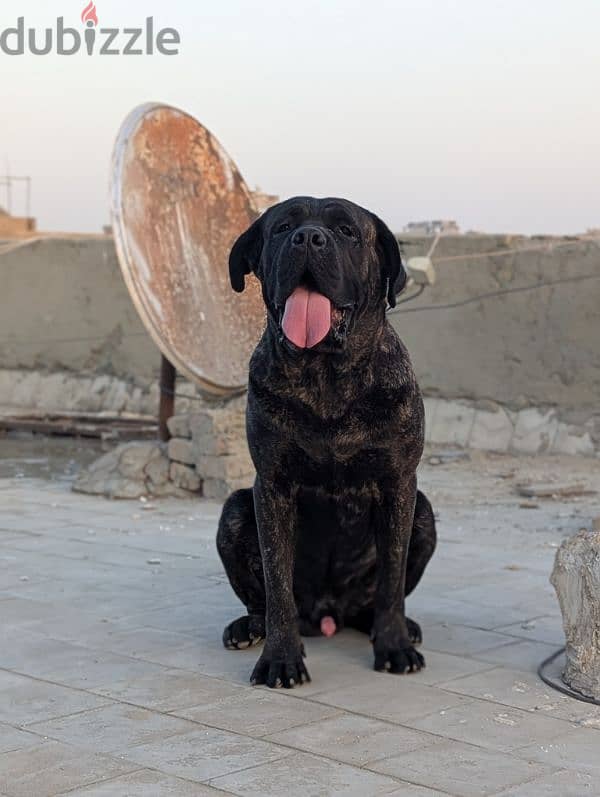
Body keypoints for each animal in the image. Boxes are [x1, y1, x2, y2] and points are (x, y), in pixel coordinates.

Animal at [216, 196, 436, 688]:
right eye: (282, 228)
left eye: (346, 231)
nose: (308, 238)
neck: (326, 377)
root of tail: (330, 614)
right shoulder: (272, 487)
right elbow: (277, 582)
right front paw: (281, 659)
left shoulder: (399, 485)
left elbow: (392, 579)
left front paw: (394, 646)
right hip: (234, 512)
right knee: (260, 600)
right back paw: (247, 628)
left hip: (424, 515)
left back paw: (399, 627)